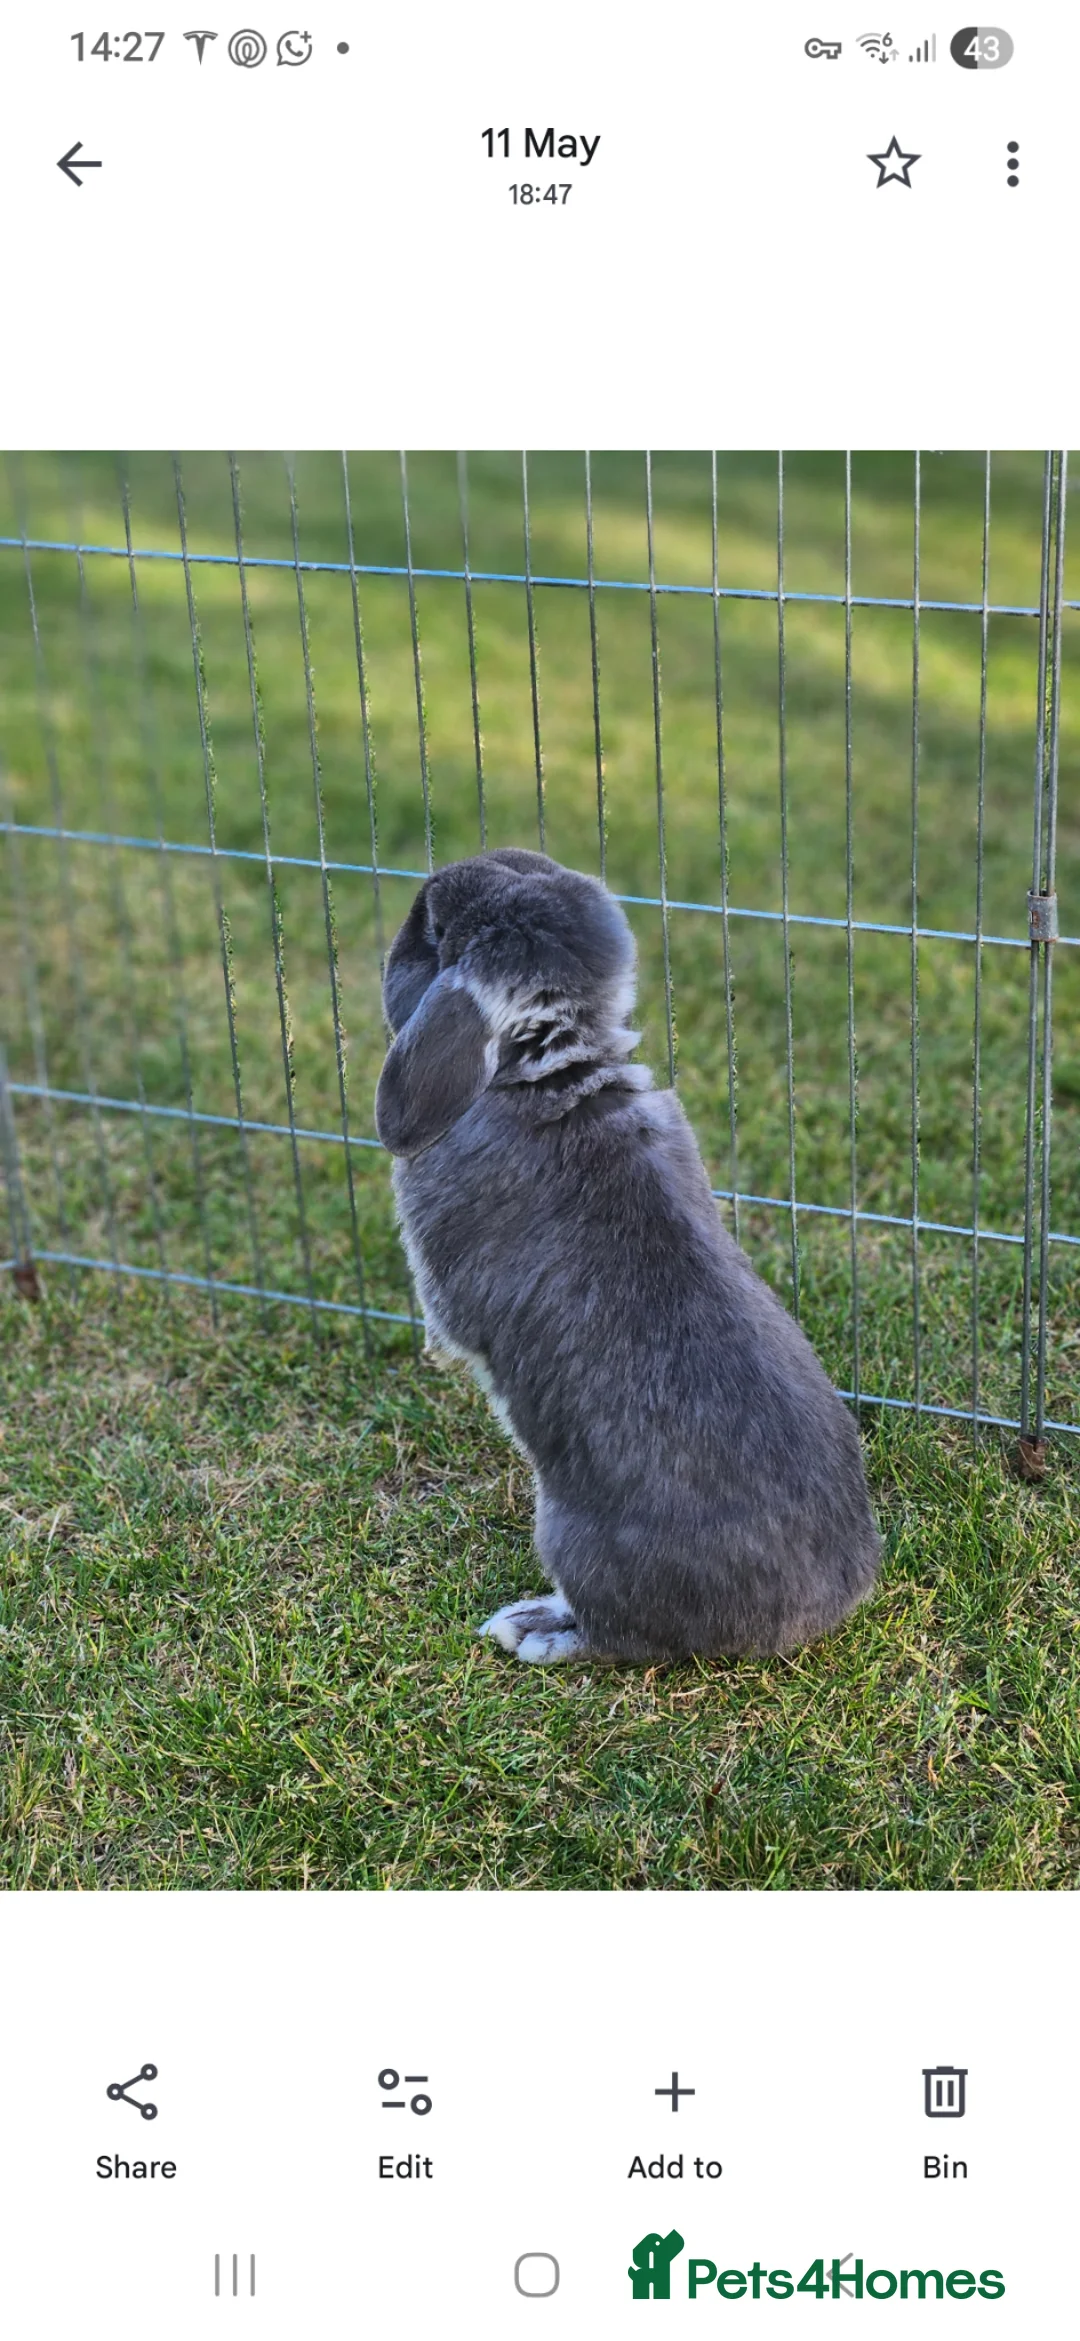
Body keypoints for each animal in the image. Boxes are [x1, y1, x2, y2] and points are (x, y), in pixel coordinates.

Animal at [374, 846, 881, 1664]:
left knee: (616, 1637)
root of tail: (812, 1614)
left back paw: (534, 1628)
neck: (545, 1076)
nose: (404, 927)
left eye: (432, 929)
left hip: (567, 1533)